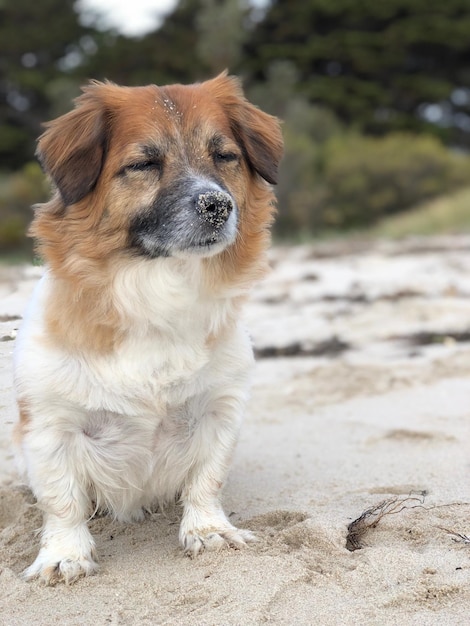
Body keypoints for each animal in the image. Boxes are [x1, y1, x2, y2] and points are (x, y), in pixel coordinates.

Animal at [12, 74, 282, 584]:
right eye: (143, 164)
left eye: (224, 156)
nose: (217, 205)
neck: (161, 289)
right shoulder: (51, 424)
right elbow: (61, 499)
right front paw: (63, 555)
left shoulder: (219, 409)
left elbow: (207, 477)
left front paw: (209, 530)